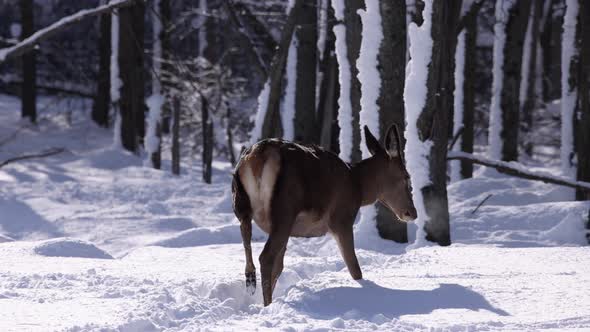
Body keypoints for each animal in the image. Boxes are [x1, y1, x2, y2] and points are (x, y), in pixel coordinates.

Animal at [231, 124, 416, 306]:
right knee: (266, 257)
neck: (359, 188)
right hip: (284, 210)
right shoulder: (341, 219)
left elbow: (279, 267)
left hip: (243, 207)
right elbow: (355, 268)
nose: (412, 213)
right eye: (406, 176)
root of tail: (257, 156)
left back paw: (253, 287)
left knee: (251, 246)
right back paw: (267, 305)